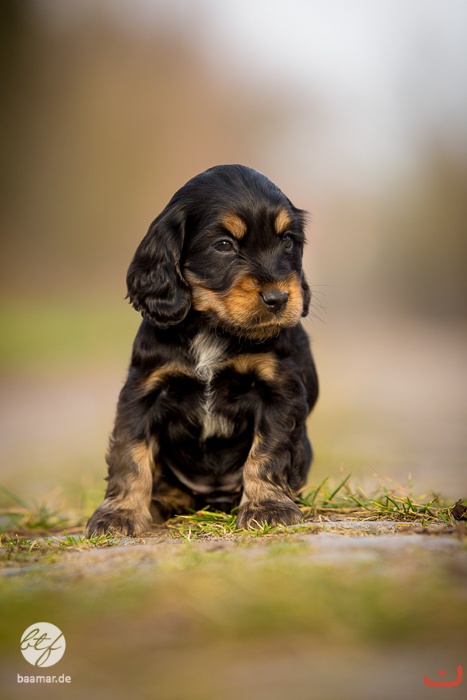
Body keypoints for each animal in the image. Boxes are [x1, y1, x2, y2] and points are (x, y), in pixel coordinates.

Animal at [85, 164, 318, 536]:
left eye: (287, 241)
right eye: (223, 245)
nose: (279, 298)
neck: (213, 327)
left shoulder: (279, 390)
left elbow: (268, 451)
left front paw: (268, 507)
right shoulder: (143, 391)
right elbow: (129, 455)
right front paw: (118, 515)